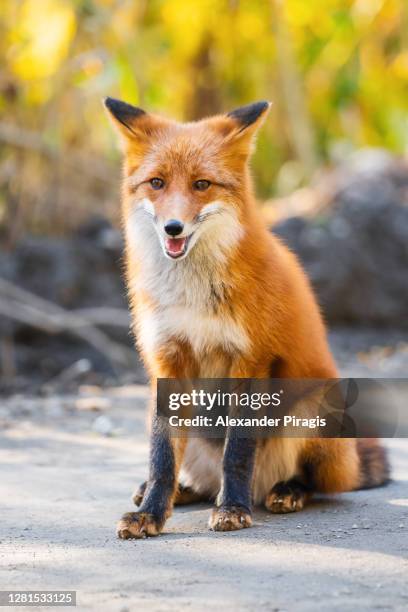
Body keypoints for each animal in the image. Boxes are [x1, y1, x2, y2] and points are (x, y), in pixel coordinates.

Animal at [103, 98, 388, 536]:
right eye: (157, 182)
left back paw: (286, 491)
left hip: (311, 411)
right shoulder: (167, 358)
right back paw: (175, 491)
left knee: (317, 483)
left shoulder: (251, 358)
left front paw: (233, 509)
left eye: (202, 184)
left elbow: (237, 450)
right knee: (197, 477)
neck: (193, 297)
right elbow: (161, 457)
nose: (173, 227)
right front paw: (151, 512)